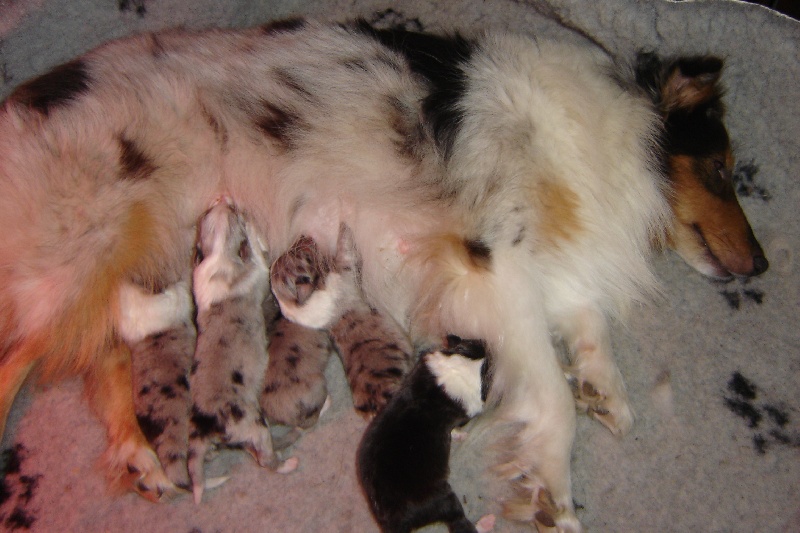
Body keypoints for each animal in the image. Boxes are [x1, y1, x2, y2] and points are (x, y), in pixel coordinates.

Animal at [356, 336, 494, 532]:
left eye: (474, 342)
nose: (488, 344)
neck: (461, 366)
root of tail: (396, 521)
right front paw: (459, 434)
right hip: (444, 500)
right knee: (459, 523)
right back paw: (486, 522)